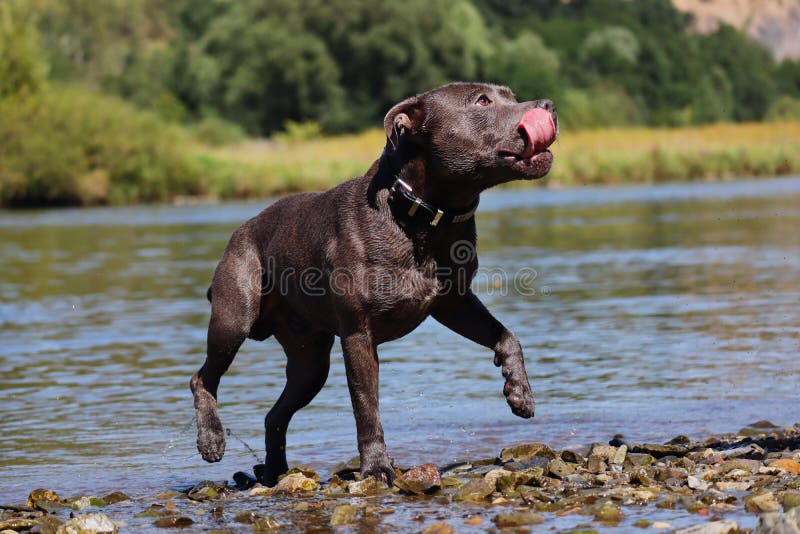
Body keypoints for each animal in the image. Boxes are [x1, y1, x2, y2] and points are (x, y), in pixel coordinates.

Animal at [191, 81, 560, 488]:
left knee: (275, 414)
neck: (424, 213)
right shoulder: (358, 335)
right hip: (233, 318)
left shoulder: (454, 303)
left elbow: (506, 335)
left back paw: (274, 471)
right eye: (482, 101)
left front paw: (519, 392)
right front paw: (377, 468)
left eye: (510, 95)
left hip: (310, 363)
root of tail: (241, 230)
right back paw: (211, 440)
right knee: (203, 377)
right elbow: (366, 406)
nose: (548, 104)